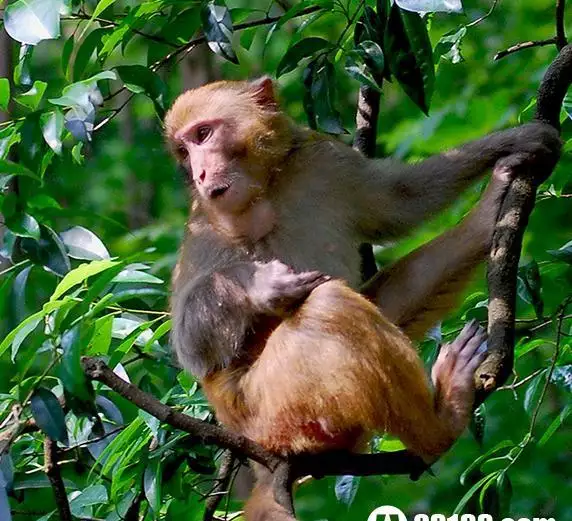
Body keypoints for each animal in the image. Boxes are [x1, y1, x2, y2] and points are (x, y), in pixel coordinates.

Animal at [163, 78, 560, 520]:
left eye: (202, 135)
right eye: (183, 151)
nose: (198, 172)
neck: (265, 190)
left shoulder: (324, 159)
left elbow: (400, 201)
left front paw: (514, 143)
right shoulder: (204, 224)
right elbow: (193, 346)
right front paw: (259, 284)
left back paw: (488, 213)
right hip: (271, 413)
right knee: (328, 305)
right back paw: (440, 428)